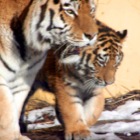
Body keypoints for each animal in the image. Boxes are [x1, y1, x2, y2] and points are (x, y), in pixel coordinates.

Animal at [0, 0, 97, 140]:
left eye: (91, 10)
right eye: (70, 11)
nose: (93, 36)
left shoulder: (22, 79)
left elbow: (14, 108)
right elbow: (6, 110)